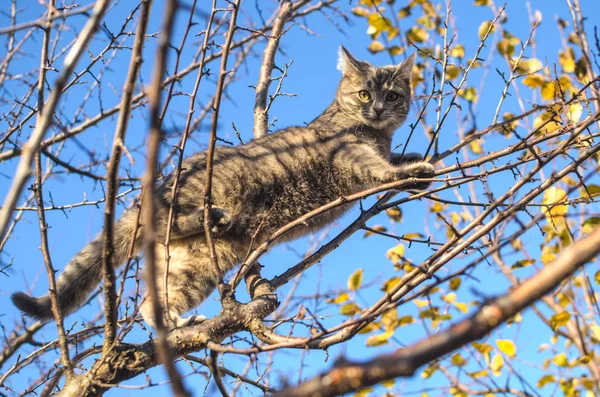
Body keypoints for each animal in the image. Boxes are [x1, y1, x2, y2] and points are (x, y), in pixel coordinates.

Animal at [11, 45, 434, 328]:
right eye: (364, 93)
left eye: (392, 95)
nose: (377, 109)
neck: (376, 135)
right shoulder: (348, 153)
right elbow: (378, 169)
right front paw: (408, 171)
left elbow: (395, 158)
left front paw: (415, 163)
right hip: (199, 200)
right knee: (169, 222)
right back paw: (212, 216)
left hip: (193, 266)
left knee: (154, 301)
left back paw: (174, 321)